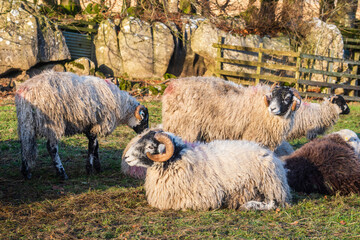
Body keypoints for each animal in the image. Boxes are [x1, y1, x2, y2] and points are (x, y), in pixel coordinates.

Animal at [15, 70, 149, 179]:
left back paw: (26, 172)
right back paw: (62, 173)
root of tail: (26, 90)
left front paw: (98, 167)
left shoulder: (89, 125)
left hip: (26, 122)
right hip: (53, 122)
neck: (120, 104)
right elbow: (92, 145)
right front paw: (89, 169)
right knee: (51, 148)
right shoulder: (97, 123)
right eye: (145, 120)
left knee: (25, 145)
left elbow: (96, 146)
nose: (146, 134)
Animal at [122, 128, 292, 211]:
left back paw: (249, 206)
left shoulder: (204, 197)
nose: (126, 157)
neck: (179, 157)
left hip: (269, 185)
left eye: (150, 147)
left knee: (274, 203)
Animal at [162, 77, 302, 151]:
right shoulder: (254, 136)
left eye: (287, 98)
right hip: (185, 128)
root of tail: (173, 84)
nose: (272, 108)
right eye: (272, 96)